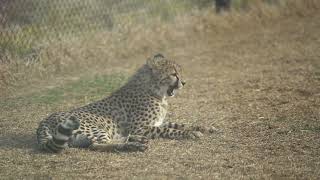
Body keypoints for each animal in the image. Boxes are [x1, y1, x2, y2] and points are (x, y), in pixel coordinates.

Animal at [36, 53, 214, 153]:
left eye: (179, 73)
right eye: (173, 74)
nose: (184, 82)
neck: (154, 91)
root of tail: (43, 121)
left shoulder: (155, 123)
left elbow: (180, 124)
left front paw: (204, 128)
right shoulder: (142, 127)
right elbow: (170, 130)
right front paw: (190, 134)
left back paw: (136, 140)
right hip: (95, 128)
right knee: (98, 145)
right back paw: (134, 145)